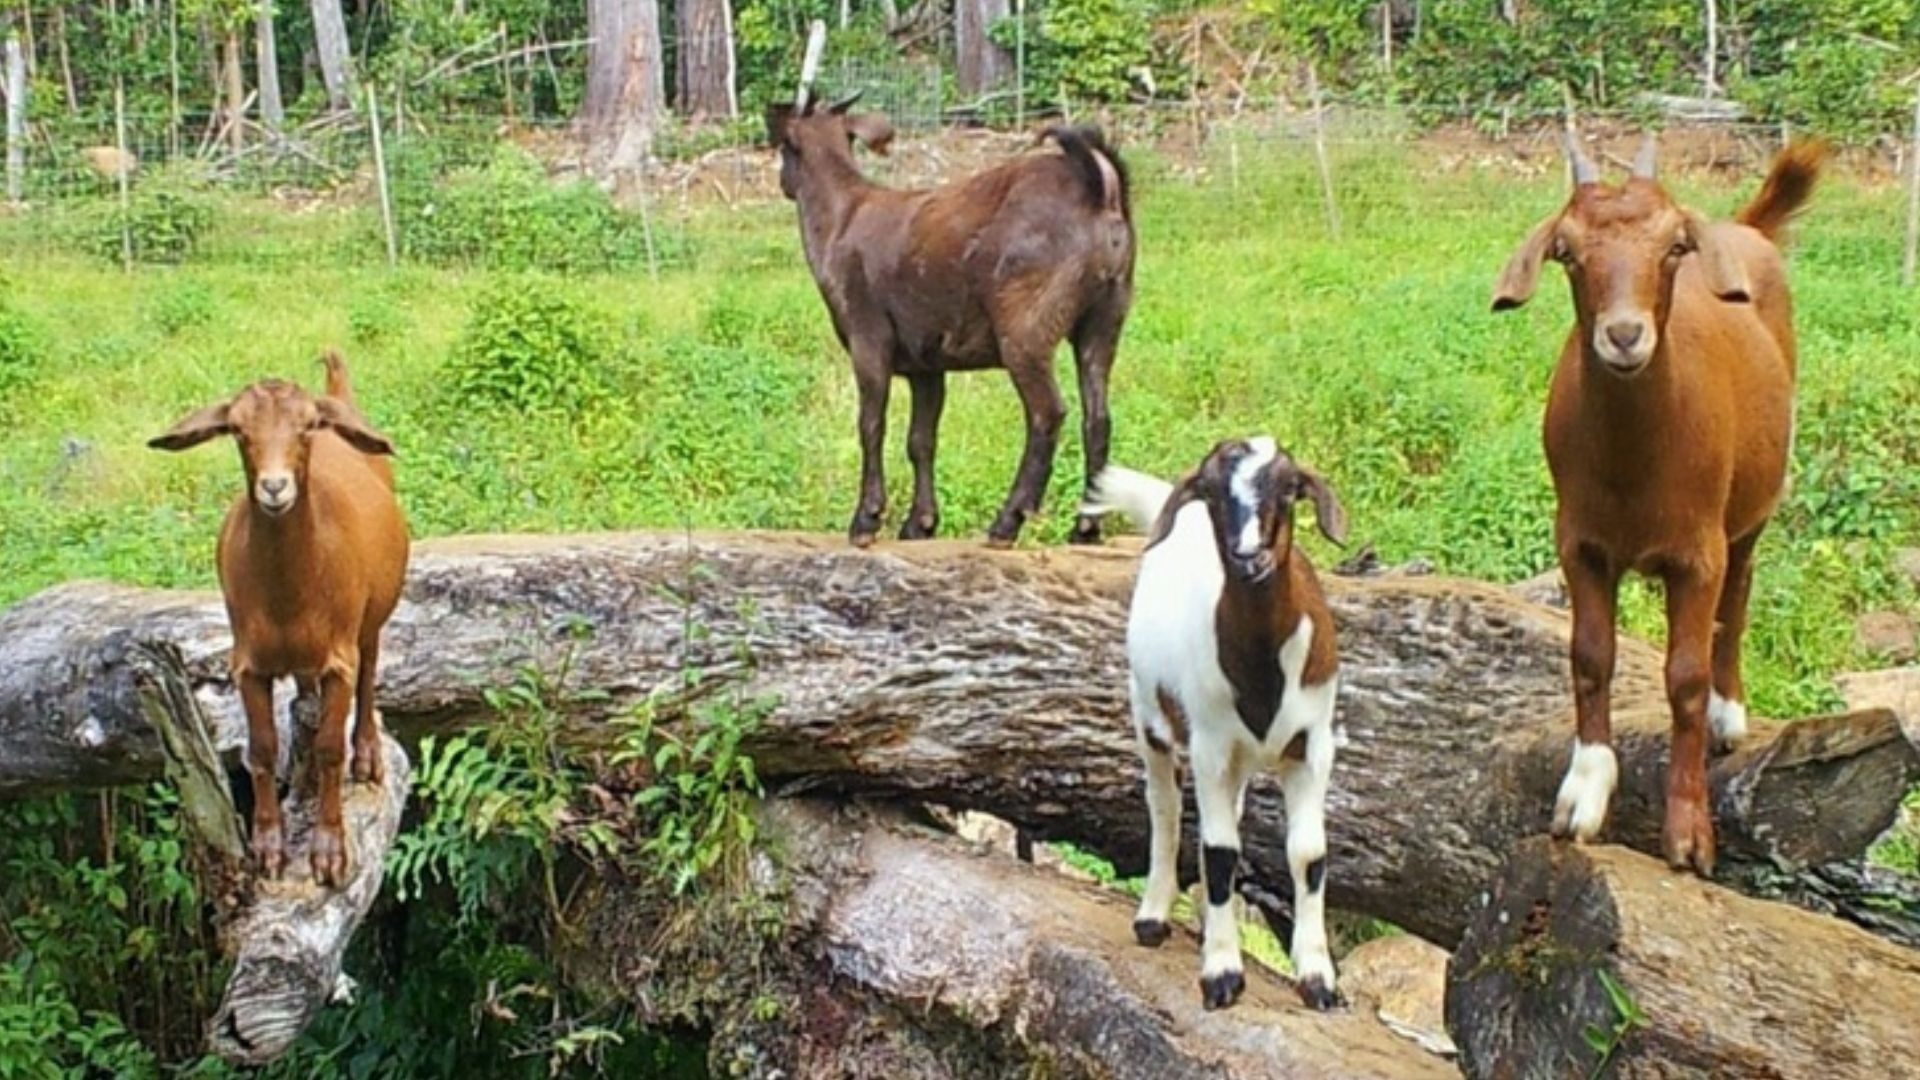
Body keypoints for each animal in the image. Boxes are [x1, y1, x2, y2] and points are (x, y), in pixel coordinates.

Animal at [152, 353, 412, 883]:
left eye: (307, 425)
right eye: (236, 429)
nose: (275, 487)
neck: (291, 595)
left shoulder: (339, 657)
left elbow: (332, 748)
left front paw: (329, 851)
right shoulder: (247, 663)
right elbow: (261, 749)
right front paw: (268, 847)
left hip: (372, 618)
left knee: (370, 670)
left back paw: (368, 754)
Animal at [764, 92, 1128, 545]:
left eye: (784, 147)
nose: (782, 182)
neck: (840, 219)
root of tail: (1101, 189)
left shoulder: (869, 338)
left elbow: (871, 425)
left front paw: (867, 518)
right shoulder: (927, 361)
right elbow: (921, 439)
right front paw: (920, 523)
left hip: (1026, 325)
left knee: (1048, 413)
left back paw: (1007, 522)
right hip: (1104, 321)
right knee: (1098, 419)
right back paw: (1085, 527)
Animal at [1082, 434, 1351, 1006]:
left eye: (1288, 488)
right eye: (1211, 492)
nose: (1250, 557)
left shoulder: (1312, 745)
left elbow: (1308, 854)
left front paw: (1318, 978)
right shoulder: (1209, 744)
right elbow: (1221, 850)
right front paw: (1223, 972)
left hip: (1241, 760)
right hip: (1149, 715)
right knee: (1164, 806)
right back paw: (1153, 917)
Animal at [1489, 134, 1820, 876]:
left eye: (1674, 246)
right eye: (1566, 250)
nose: (1623, 336)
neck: (1635, 463)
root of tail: (1748, 229)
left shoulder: (1698, 554)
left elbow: (1685, 678)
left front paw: (1690, 833)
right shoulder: (1579, 543)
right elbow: (1590, 656)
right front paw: (1583, 795)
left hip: (1752, 513)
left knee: (1740, 596)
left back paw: (1730, 715)